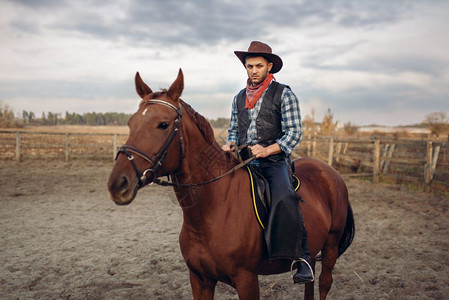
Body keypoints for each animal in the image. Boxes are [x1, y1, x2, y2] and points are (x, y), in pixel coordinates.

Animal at [107, 69, 352, 300]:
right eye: (130, 123)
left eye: (163, 124)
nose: (117, 183)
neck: (212, 211)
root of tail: (330, 172)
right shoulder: (200, 279)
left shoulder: (246, 281)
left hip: (330, 247)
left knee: (323, 284)